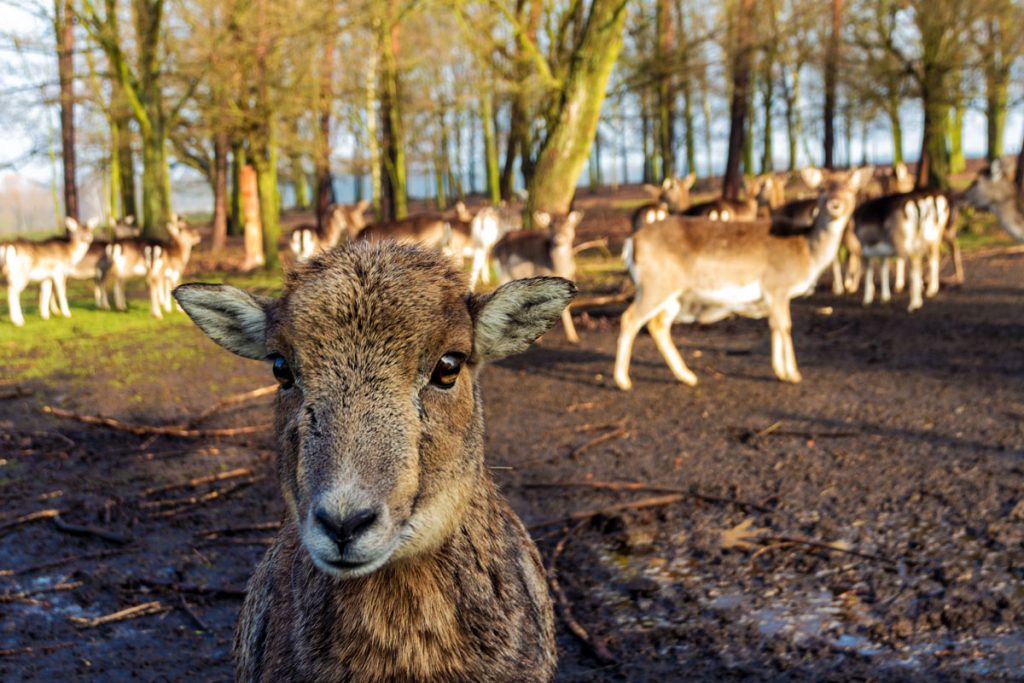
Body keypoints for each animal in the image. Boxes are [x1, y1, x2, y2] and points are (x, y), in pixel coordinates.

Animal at [489, 210, 585, 344]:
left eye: (568, 224)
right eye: (551, 226)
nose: (559, 237)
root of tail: (496, 246)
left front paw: (573, 337)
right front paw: (539, 340)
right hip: (503, 273)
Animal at [610, 166, 868, 389]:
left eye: (850, 188)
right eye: (822, 188)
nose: (835, 204)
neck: (807, 252)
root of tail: (631, 241)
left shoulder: (772, 294)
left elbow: (774, 326)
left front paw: (780, 371)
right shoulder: (777, 285)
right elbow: (785, 325)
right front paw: (793, 374)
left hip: (673, 293)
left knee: (658, 325)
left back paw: (688, 376)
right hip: (656, 284)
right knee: (630, 318)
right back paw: (623, 381)